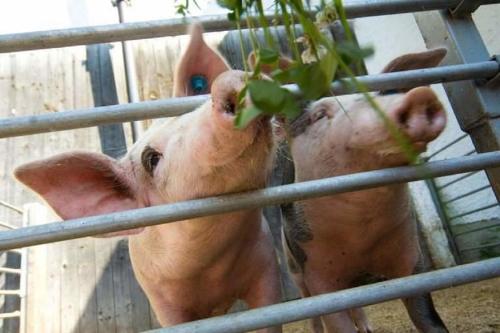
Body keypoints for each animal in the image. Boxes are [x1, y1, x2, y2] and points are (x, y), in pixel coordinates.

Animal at [14, 24, 282, 330]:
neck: (214, 267)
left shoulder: (265, 263)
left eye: (193, 108)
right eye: (151, 159)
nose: (229, 81)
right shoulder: (163, 299)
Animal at [282, 49, 450, 332]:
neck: (361, 234)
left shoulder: (411, 255)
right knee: (311, 308)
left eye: (386, 93)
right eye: (319, 114)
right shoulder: (315, 270)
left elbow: (427, 317)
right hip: (294, 270)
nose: (420, 95)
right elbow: (336, 322)